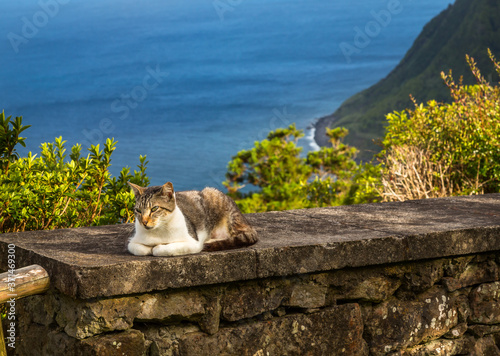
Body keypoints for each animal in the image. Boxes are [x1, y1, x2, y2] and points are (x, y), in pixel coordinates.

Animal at [126, 181, 258, 256]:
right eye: (138, 210)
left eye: (154, 208)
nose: (144, 222)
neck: (158, 231)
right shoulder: (132, 243)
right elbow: (140, 249)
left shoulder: (193, 243)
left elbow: (161, 249)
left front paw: (157, 248)